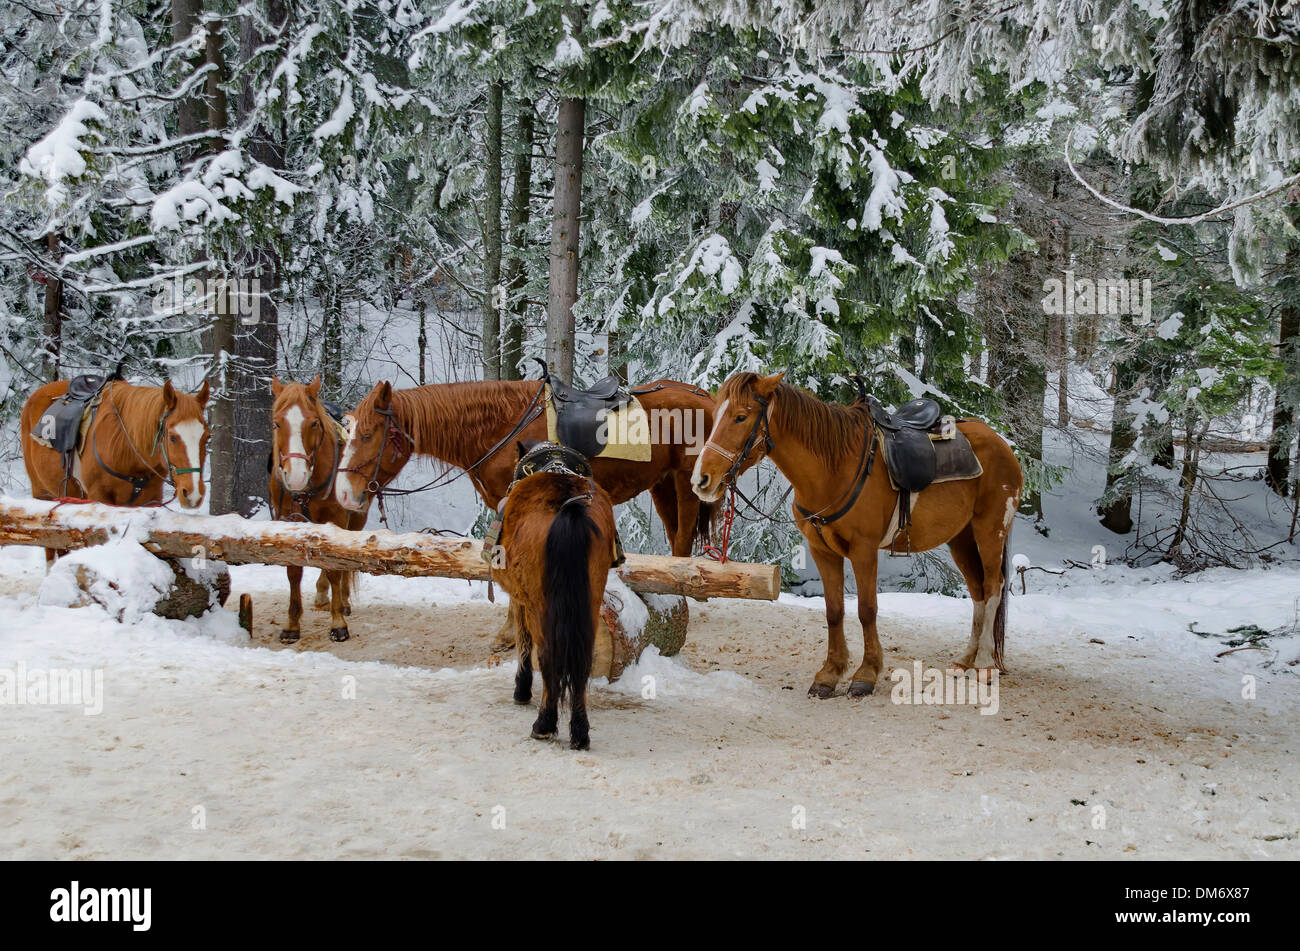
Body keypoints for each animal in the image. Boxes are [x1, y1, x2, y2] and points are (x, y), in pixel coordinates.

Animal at [21, 374, 209, 563]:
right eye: (172, 437)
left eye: (207, 437)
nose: (193, 494)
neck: (125, 447)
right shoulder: (99, 497)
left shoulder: (151, 499)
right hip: (42, 493)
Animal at [263, 374, 366, 641]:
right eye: (277, 423)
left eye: (313, 424)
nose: (296, 476)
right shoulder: (288, 521)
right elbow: (293, 571)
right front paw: (292, 625)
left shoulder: (337, 517)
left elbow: (335, 568)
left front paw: (338, 622)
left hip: (355, 520)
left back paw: (342, 601)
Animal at [496, 444, 618, 748]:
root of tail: (568, 506)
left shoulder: (520, 599)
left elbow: (523, 642)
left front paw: (521, 689)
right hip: (590, 598)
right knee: (582, 662)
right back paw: (580, 732)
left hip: (540, 605)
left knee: (547, 656)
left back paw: (544, 724)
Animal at [691, 374, 1024, 696]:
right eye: (716, 415)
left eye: (741, 416)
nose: (701, 479)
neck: (833, 470)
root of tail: (1001, 443)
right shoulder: (822, 551)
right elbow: (834, 611)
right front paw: (829, 674)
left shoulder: (864, 550)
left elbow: (867, 610)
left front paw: (866, 674)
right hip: (961, 538)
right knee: (978, 590)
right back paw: (965, 659)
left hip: (990, 530)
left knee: (993, 586)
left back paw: (984, 663)